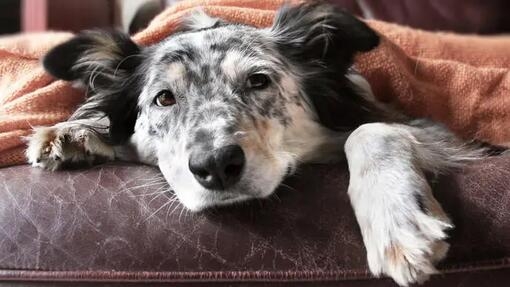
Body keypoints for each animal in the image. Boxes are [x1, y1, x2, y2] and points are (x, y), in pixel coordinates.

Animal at [24, 2, 502, 287]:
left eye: (258, 81)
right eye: (164, 99)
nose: (216, 165)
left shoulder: (430, 128)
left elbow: (372, 130)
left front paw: (397, 220)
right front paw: (74, 132)